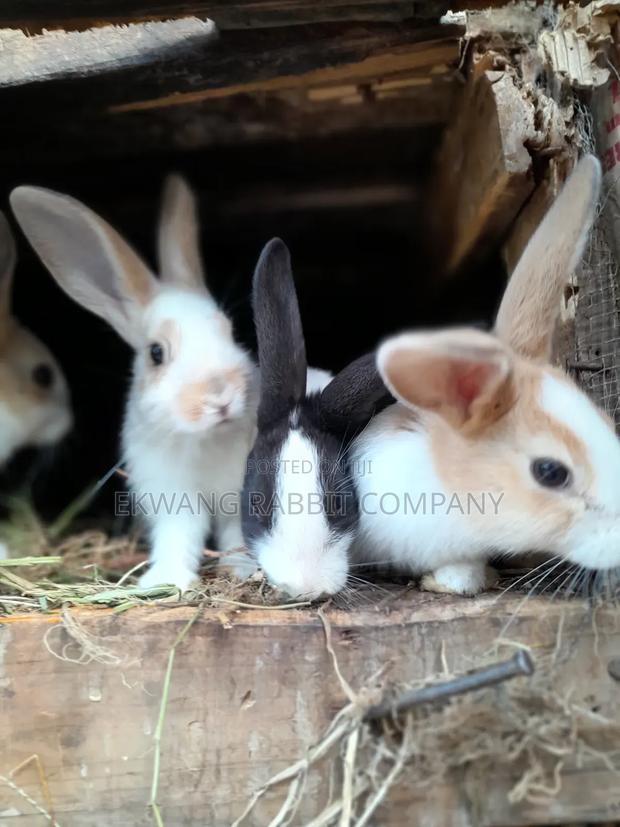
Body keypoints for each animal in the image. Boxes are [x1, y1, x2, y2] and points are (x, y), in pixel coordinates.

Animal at [11, 176, 260, 591]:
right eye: (156, 352)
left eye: (230, 331)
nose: (220, 397)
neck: (201, 439)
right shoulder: (172, 496)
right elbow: (180, 535)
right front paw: (167, 580)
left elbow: (236, 534)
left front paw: (244, 571)